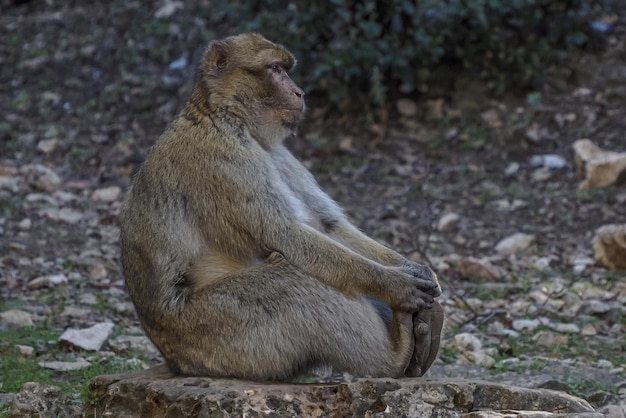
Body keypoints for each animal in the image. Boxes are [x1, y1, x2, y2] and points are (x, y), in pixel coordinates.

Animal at [119, 31, 442, 378]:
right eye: (274, 69)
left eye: (286, 69)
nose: (299, 92)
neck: (227, 117)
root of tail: (174, 360)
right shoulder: (221, 157)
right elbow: (285, 234)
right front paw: (396, 285)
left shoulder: (276, 154)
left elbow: (326, 224)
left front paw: (417, 270)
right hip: (221, 336)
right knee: (297, 279)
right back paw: (394, 356)